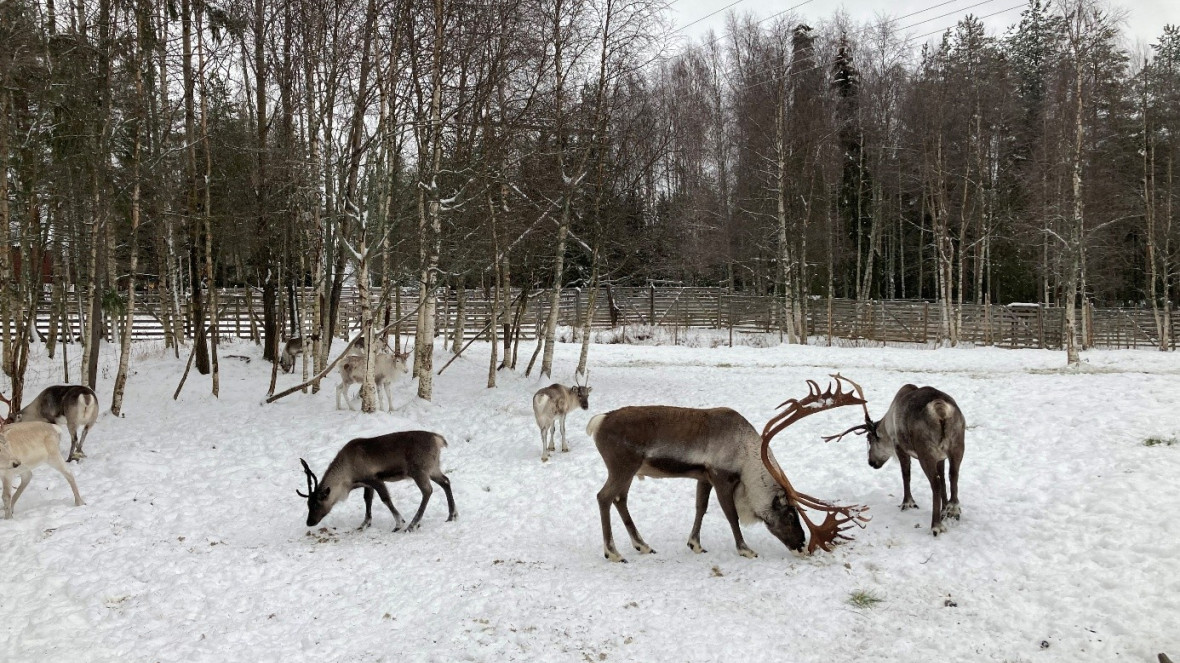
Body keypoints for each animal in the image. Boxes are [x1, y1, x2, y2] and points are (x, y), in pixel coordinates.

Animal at [296, 430, 457, 532]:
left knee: (427, 491)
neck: (348, 477)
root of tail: (438, 439)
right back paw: (452, 516)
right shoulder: (367, 484)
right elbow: (367, 500)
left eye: (316, 504)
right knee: (446, 481)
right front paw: (364, 524)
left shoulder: (375, 479)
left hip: (419, 471)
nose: (309, 522)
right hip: (433, 468)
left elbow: (385, 499)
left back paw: (412, 525)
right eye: (308, 504)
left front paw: (399, 523)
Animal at [585, 375, 871, 562]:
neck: (744, 454)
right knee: (603, 497)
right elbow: (731, 515)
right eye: (790, 514)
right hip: (622, 467)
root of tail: (598, 422)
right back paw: (613, 552)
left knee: (620, 500)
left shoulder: (703, 477)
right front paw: (745, 549)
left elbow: (700, 508)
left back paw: (642, 545)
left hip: (630, 471)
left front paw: (695, 544)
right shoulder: (722, 478)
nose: (802, 546)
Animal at [826, 383, 966, 536]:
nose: (871, 462)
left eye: (869, 439)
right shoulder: (941, 457)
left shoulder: (900, 447)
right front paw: (944, 510)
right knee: (953, 475)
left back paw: (936, 526)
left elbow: (906, 475)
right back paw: (953, 510)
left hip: (925, 452)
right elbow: (945, 480)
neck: (887, 425)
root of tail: (940, 409)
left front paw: (907, 503)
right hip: (957, 446)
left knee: (936, 483)